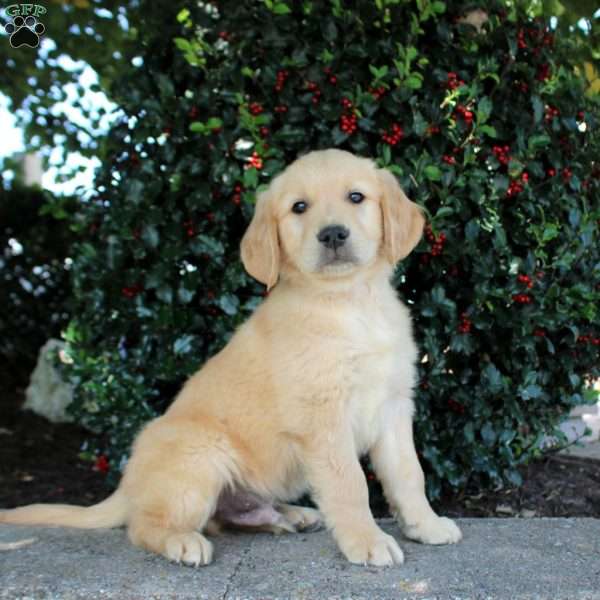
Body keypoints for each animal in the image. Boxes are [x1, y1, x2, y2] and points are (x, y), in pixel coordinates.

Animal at [0, 149, 462, 568]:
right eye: (299, 207)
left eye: (356, 197)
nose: (332, 234)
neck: (349, 303)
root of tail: (129, 484)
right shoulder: (323, 418)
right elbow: (350, 484)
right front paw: (367, 542)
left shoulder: (394, 405)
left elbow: (409, 474)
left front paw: (426, 525)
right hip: (200, 456)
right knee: (145, 525)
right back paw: (182, 542)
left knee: (227, 517)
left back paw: (292, 515)